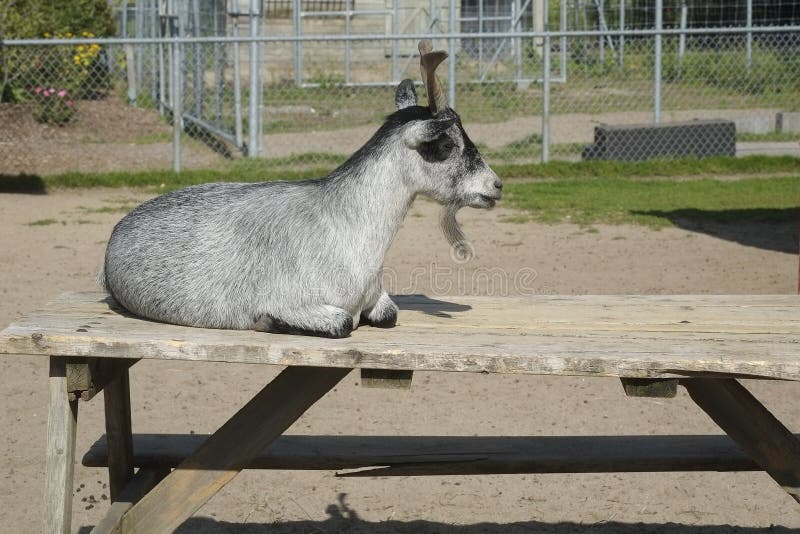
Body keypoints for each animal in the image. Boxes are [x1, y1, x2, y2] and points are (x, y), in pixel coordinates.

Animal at [98, 40, 500, 340]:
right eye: (446, 144)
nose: (495, 185)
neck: (346, 224)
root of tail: (116, 232)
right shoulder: (292, 302)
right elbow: (342, 323)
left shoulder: (379, 299)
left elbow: (388, 315)